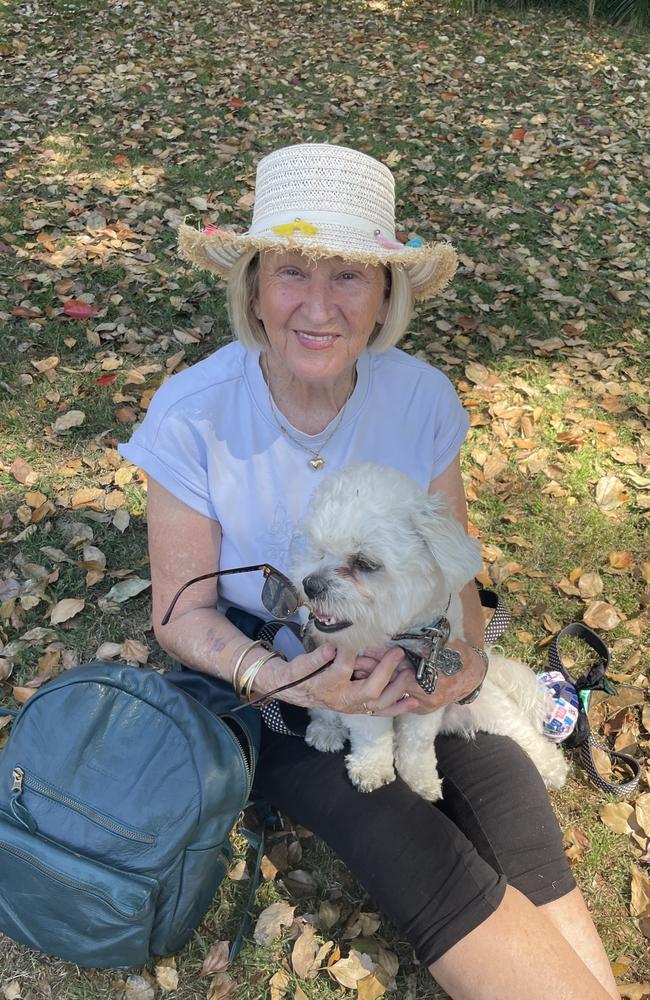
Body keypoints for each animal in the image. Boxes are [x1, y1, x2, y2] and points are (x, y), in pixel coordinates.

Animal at [292, 464, 564, 800]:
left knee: (518, 728)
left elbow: (417, 743)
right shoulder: (356, 688)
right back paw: (327, 729)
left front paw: (419, 778)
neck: (401, 637)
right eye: (319, 551)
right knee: (323, 711)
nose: (310, 584)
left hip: (481, 702)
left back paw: (551, 764)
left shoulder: (430, 695)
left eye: (364, 563)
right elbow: (370, 733)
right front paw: (372, 769)